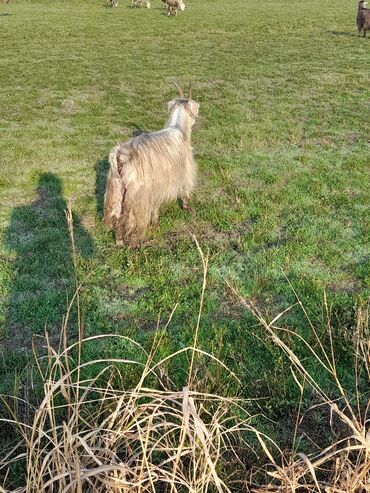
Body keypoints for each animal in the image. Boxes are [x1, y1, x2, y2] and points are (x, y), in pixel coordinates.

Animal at [102, 83, 199, 250]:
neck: (178, 128)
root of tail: (119, 157)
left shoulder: (156, 188)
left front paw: (155, 222)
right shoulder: (184, 170)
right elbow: (185, 189)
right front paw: (187, 207)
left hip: (115, 189)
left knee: (116, 216)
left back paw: (119, 241)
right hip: (137, 195)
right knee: (132, 221)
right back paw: (134, 244)